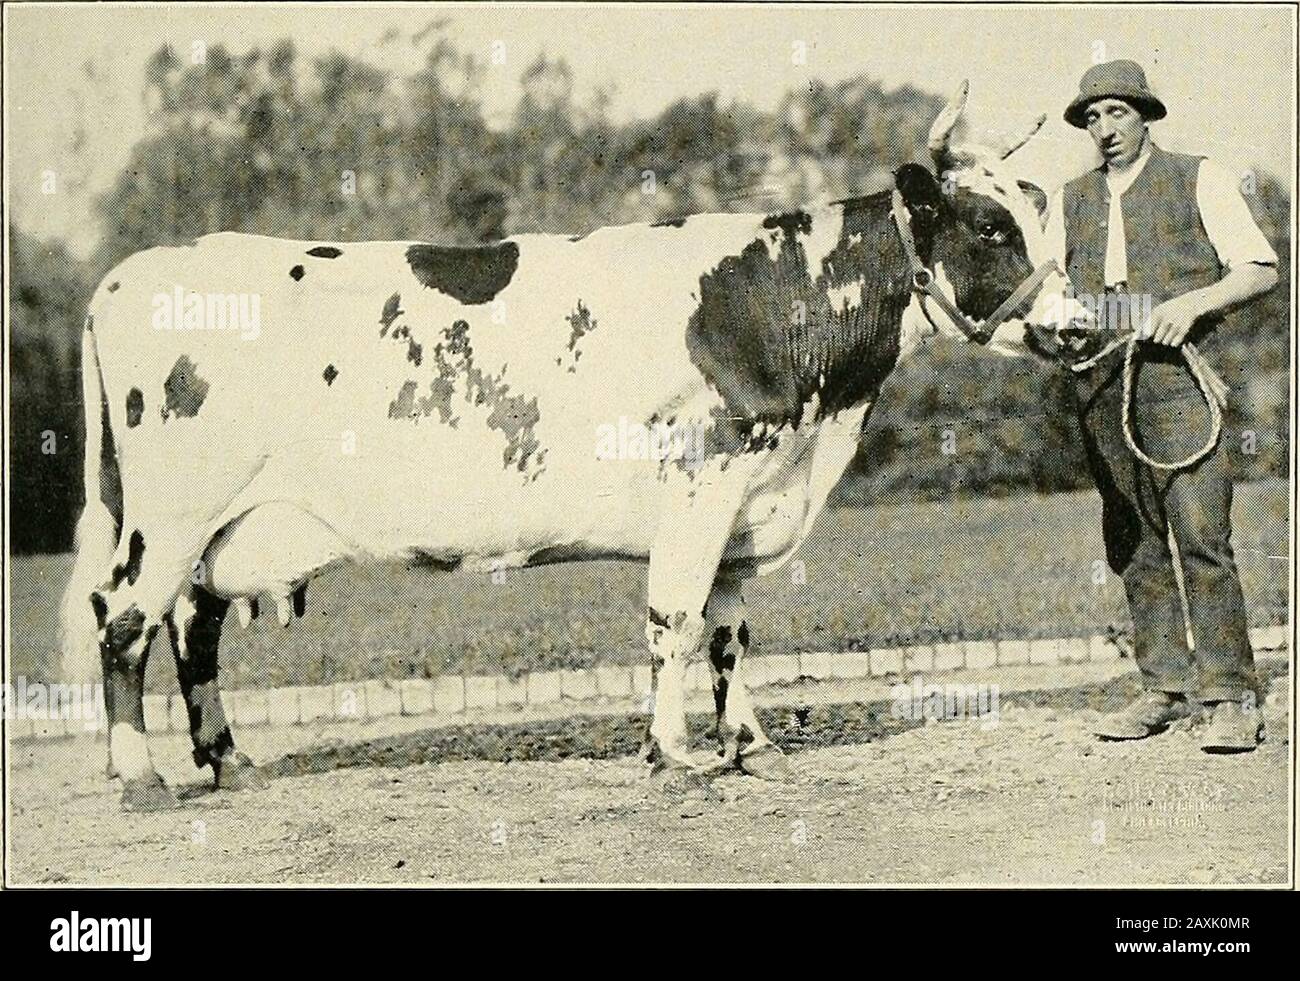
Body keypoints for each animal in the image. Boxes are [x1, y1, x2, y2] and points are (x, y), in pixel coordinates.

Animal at [58, 82, 1086, 815]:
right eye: (991, 225)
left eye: (1048, 222)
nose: (1080, 326)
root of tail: (127, 274)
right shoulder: (703, 481)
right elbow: (675, 622)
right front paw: (673, 756)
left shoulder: (745, 499)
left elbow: (730, 632)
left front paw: (752, 745)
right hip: (172, 513)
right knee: (125, 619)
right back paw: (141, 778)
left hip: (224, 525)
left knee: (193, 629)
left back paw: (230, 761)